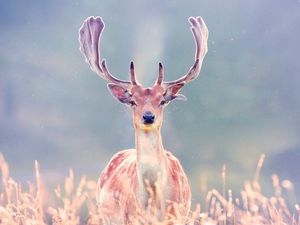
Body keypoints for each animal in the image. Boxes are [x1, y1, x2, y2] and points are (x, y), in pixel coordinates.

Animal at [78, 14, 207, 224]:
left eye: (162, 100)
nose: (148, 116)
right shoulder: (130, 217)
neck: (154, 200)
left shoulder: (178, 215)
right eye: (132, 101)